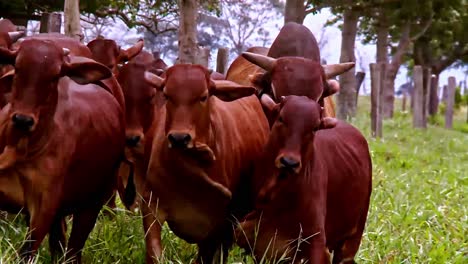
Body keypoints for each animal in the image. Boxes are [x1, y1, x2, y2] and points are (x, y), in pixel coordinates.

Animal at [0, 38, 126, 262]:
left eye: (54, 76)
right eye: (18, 67)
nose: (23, 120)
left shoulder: (44, 207)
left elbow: (27, 252)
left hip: (92, 204)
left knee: (72, 251)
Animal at [131, 64, 270, 264]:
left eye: (204, 97)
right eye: (167, 95)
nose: (179, 138)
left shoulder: (218, 225)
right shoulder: (151, 206)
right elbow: (154, 252)